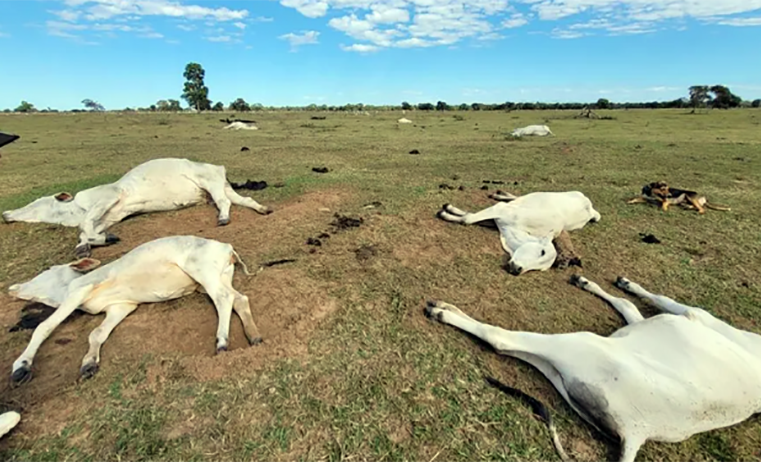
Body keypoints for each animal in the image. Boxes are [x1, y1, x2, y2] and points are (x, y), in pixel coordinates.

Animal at [1, 158, 270, 258]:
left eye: (36, 203)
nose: (5, 214)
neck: (76, 208)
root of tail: (218, 167)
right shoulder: (109, 216)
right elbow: (87, 230)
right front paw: (89, 244)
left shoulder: (110, 196)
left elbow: (84, 225)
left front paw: (96, 241)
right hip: (220, 187)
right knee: (244, 200)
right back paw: (263, 209)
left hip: (211, 184)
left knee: (225, 203)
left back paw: (224, 218)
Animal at [8, 236, 262, 384]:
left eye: (47, 270)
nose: (13, 288)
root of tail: (227, 247)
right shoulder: (121, 307)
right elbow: (97, 334)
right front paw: (89, 363)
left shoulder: (80, 290)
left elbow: (44, 326)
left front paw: (21, 366)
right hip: (218, 277)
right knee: (239, 298)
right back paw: (254, 336)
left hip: (203, 272)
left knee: (224, 298)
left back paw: (222, 341)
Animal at [424, 274, 760, 462]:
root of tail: (638, 431)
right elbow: (629, 306)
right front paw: (598, 282)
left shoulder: (694, 315)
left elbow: (654, 300)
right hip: (562, 373)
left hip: (579, 345)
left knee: (501, 339)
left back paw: (443, 312)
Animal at [436, 190, 604, 274]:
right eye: (542, 251)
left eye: (540, 269)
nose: (518, 270)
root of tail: (590, 208)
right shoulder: (501, 210)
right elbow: (468, 218)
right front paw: (446, 211)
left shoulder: (496, 219)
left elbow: (468, 216)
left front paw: (448, 211)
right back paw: (499, 194)